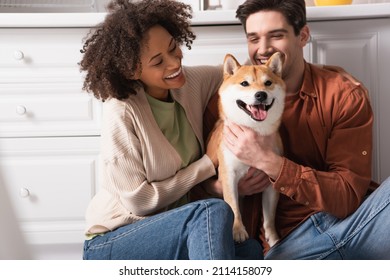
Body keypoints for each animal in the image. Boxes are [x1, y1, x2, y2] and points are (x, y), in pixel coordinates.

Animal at [210, 52, 286, 247]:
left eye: (268, 83)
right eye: (244, 83)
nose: (261, 94)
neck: (254, 132)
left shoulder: (271, 181)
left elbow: (269, 217)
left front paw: (273, 237)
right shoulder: (228, 175)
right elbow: (233, 206)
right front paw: (238, 230)